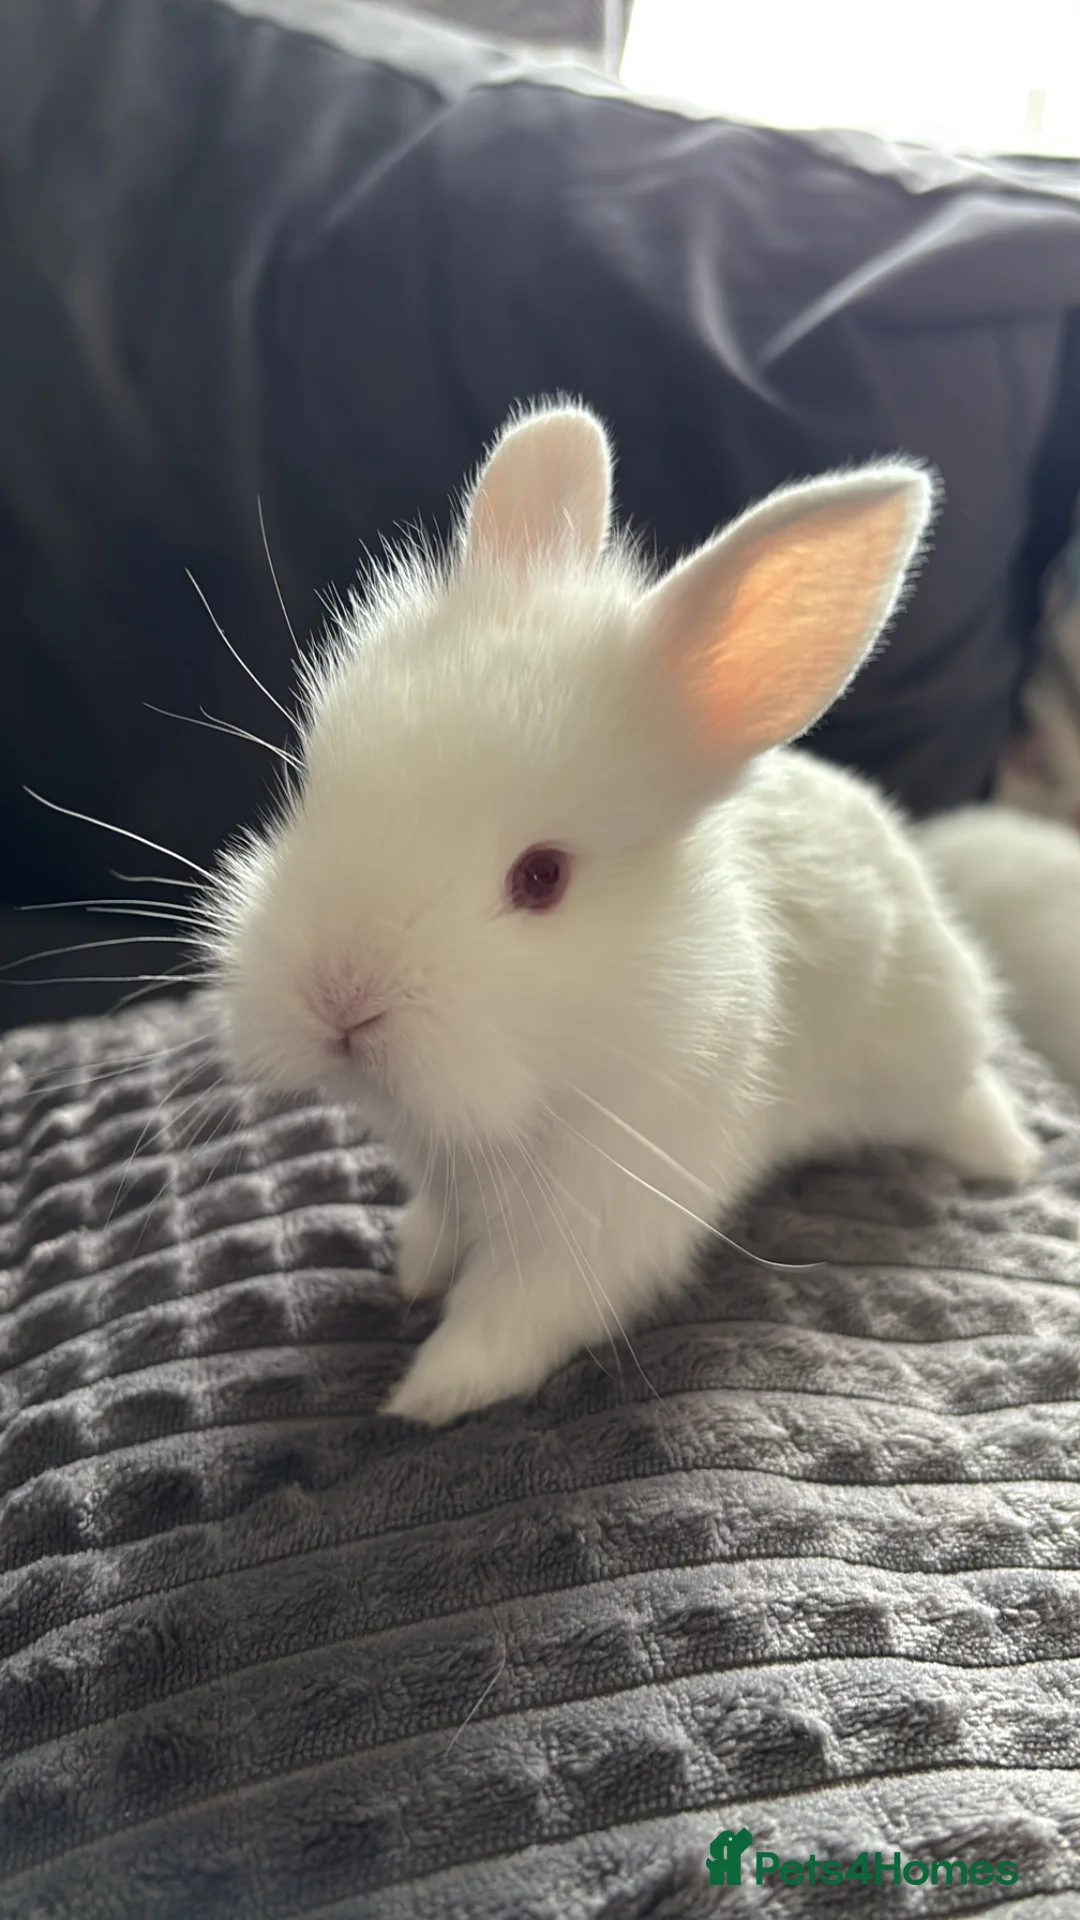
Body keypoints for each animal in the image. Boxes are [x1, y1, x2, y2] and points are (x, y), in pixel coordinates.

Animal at [205, 401, 1038, 1425]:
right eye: (312, 788)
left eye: (542, 878)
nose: (339, 999)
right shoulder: (447, 1181)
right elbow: (439, 1235)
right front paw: (414, 1275)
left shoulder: (604, 1224)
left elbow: (515, 1316)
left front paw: (426, 1394)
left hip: (925, 1045)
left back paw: (1006, 1155)